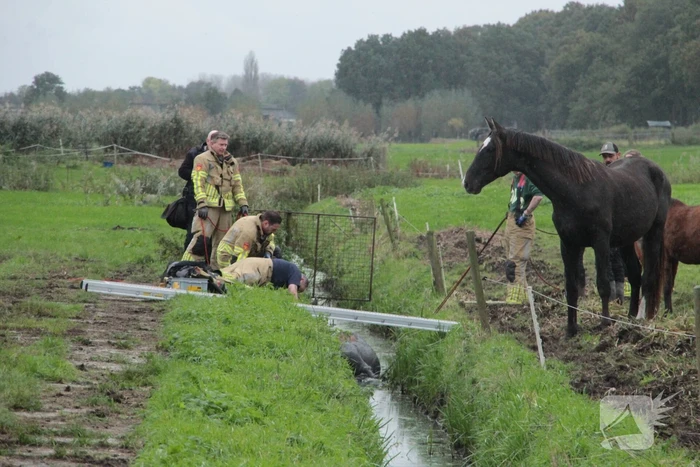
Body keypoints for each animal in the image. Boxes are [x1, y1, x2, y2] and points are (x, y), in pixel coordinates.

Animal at [463, 118, 671, 337]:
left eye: (490, 149)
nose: (467, 182)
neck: (576, 190)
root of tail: (656, 170)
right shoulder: (568, 243)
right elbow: (571, 287)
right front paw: (571, 328)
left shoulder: (600, 242)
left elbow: (603, 284)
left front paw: (604, 323)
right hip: (627, 240)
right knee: (634, 274)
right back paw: (630, 318)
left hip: (653, 233)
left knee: (648, 277)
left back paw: (643, 320)